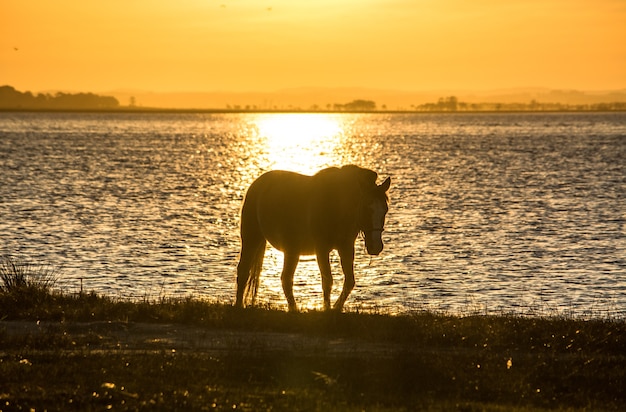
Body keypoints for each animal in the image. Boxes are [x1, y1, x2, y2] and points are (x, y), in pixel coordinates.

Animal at [234, 165, 390, 312]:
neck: (336, 204)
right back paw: (238, 305)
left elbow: (349, 281)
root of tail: (257, 184)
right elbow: (327, 281)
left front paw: (336, 308)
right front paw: (326, 309)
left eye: (385, 210)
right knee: (243, 271)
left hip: (292, 249)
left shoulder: (346, 247)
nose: (376, 246)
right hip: (251, 237)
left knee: (286, 279)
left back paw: (293, 308)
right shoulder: (321, 249)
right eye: (366, 208)